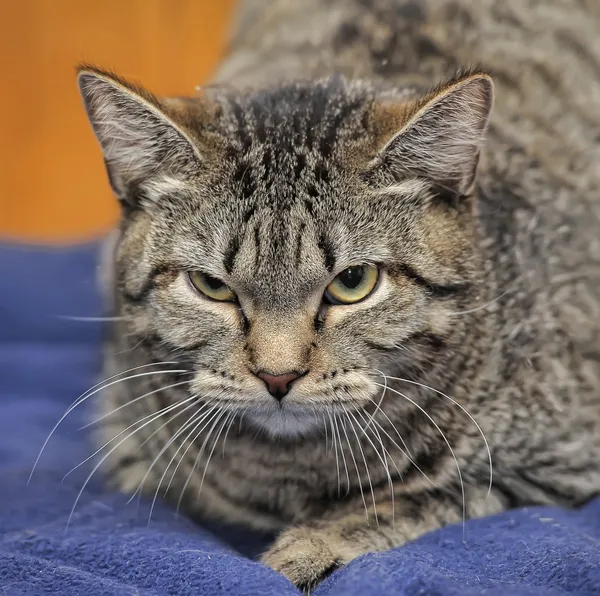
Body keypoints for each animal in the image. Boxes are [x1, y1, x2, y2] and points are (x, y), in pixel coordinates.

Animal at [76, 0, 600, 588]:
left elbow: (416, 498)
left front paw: (311, 546)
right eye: (212, 286)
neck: (289, 474)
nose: (277, 376)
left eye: (353, 283)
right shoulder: (127, 445)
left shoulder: (554, 465)